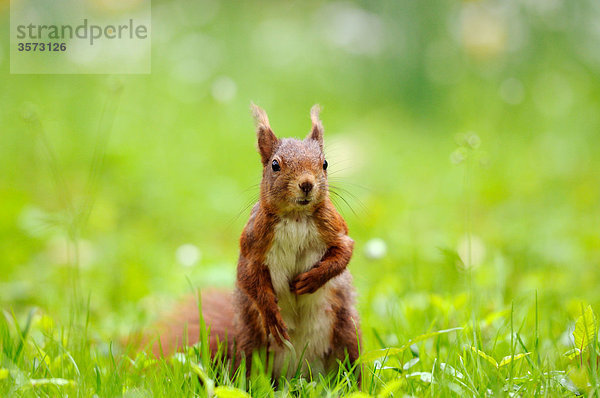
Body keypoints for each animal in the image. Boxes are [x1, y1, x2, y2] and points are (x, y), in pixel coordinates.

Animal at [150, 104, 360, 380]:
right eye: (275, 165)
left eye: (324, 163)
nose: (306, 184)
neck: (296, 217)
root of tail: (296, 373)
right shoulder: (252, 241)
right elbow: (248, 275)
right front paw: (271, 313)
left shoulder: (333, 226)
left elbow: (344, 251)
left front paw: (311, 280)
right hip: (250, 343)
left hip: (347, 335)